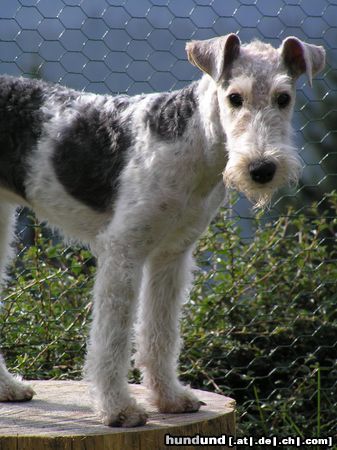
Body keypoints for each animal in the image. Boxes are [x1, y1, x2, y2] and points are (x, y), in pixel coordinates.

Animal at [0, 34, 324, 426]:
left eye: (283, 98)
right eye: (235, 97)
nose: (262, 169)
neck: (195, 142)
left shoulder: (172, 255)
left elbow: (161, 332)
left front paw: (170, 397)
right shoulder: (124, 251)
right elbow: (112, 338)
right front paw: (119, 409)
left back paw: (8, 388)